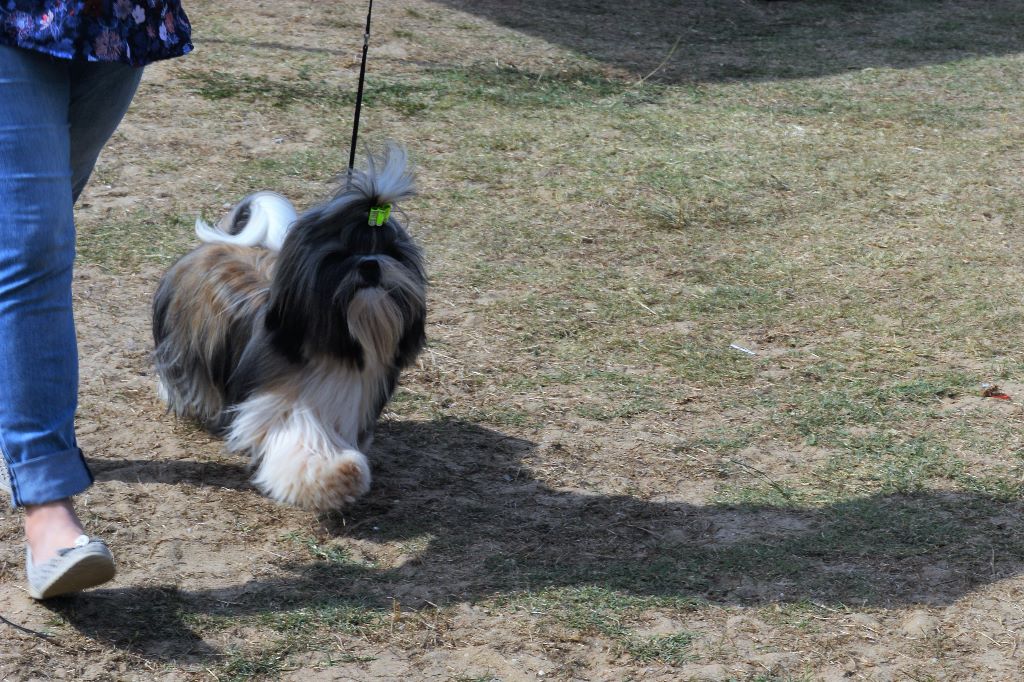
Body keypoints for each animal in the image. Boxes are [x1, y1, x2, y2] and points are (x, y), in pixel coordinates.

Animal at [149, 147, 425, 509]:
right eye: (340, 254)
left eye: (392, 252)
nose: (371, 264)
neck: (337, 349)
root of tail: (213, 246)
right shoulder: (276, 403)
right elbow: (301, 438)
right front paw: (339, 474)